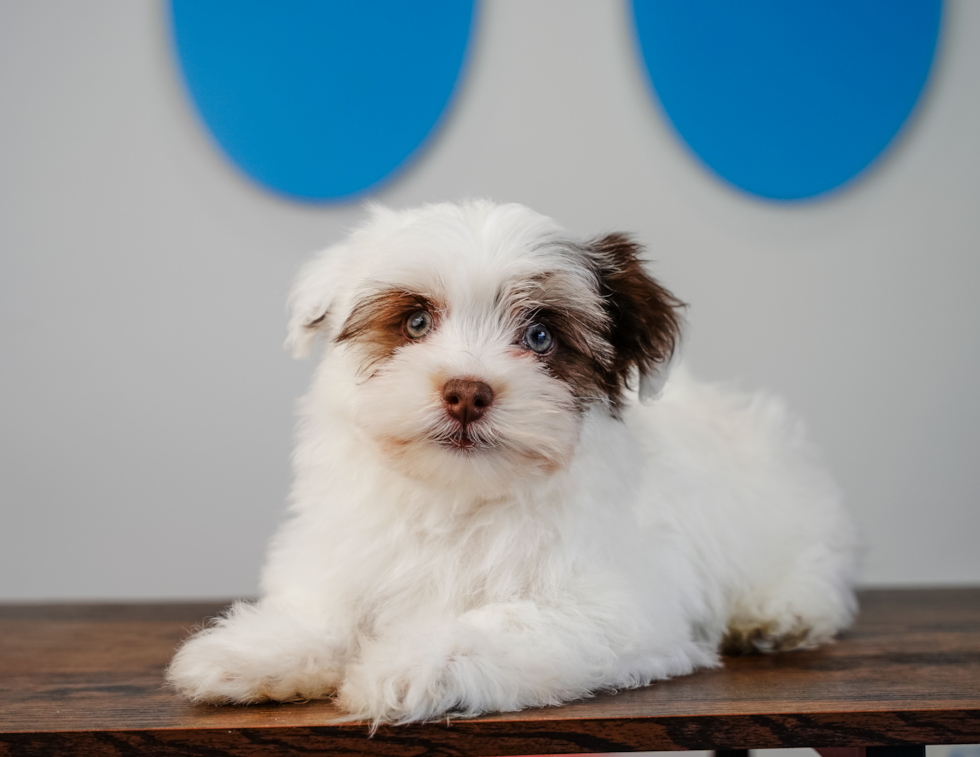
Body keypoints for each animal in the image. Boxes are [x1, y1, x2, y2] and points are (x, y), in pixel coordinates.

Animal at [167, 199, 856, 720]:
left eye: (540, 336)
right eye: (416, 322)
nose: (467, 392)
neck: (458, 495)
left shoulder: (618, 606)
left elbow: (500, 623)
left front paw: (413, 664)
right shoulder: (350, 549)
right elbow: (329, 609)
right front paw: (260, 649)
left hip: (788, 509)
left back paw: (780, 615)